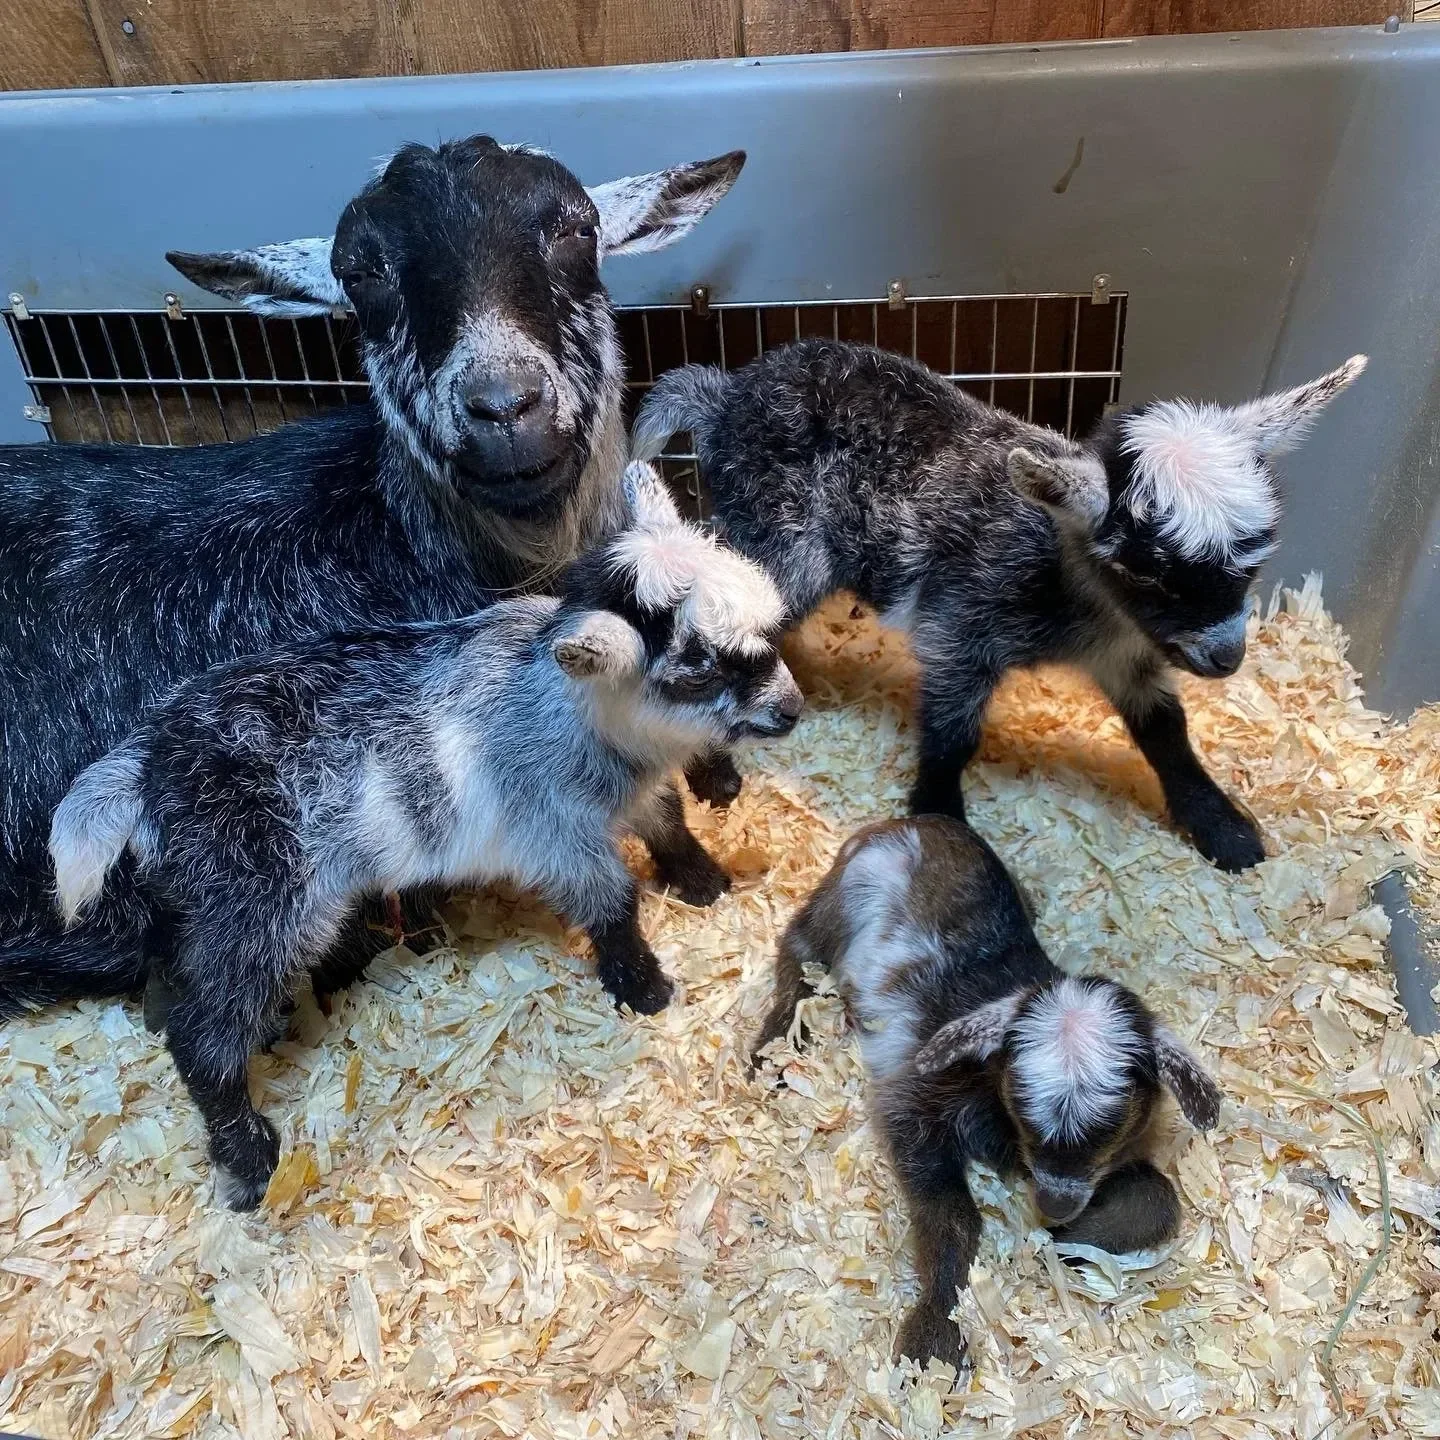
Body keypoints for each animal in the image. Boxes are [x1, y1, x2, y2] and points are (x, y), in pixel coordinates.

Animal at [49, 465, 802, 1209]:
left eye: (766, 631)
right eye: (699, 664)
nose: (792, 708)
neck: (564, 705)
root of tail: (149, 759)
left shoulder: (632, 793)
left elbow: (668, 822)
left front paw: (705, 882)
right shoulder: (554, 832)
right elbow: (611, 901)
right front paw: (645, 988)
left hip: (209, 897)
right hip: (262, 902)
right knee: (204, 1037)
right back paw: (249, 1158)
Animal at [633, 341, 1366, 871]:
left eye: (1254, 562)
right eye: (1148, 574)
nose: (1226, 658)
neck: (1078, 593)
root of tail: (725, 397)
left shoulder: (1126, 655)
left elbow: (1166, 730)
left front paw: (1225, 830)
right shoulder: (961, 624)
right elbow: (952, 733)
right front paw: (940, 819)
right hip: (783, 546)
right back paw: (713, 773)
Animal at [752, 815, 1220, 1367]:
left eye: (1114, 1129)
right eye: (1020, 1109)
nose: (1055, 1207)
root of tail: (910, 822)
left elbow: (1159, 1198)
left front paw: (1070, 1241)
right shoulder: (913, 1099)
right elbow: (953, 1214)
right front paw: (936, 1332)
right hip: (840, 904)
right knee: (799, 951)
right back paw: (774, 1047)